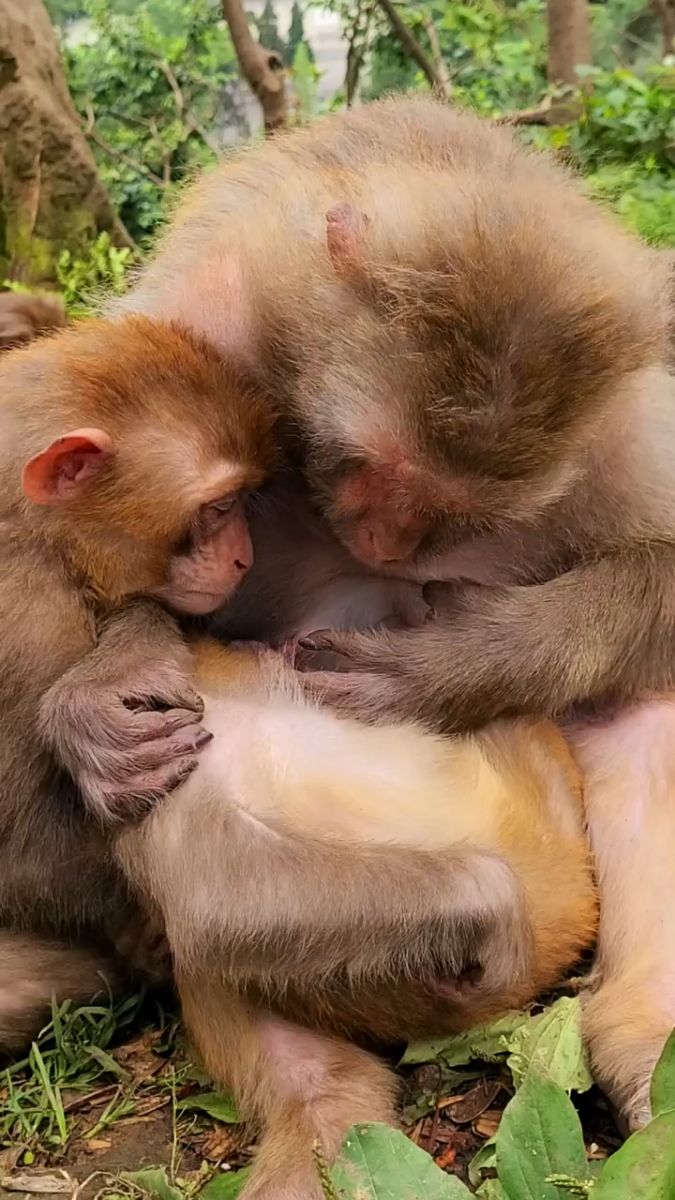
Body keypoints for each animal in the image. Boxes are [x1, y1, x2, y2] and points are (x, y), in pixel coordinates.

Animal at [51, 91, 672, 1123]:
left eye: (462, 511)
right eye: (374, 469)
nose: (385, 545)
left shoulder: (619, 429)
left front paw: (445, 668)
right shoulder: (200, 319)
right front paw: (109, 684)